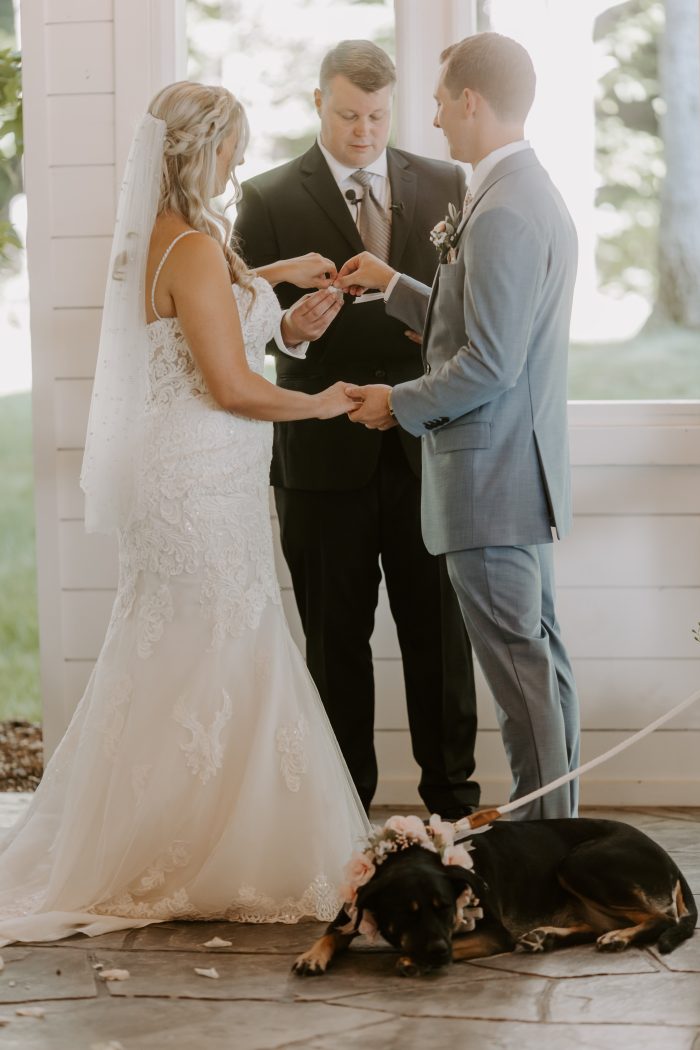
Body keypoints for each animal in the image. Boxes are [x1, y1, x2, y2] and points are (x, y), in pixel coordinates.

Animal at [291, 814, 696, 978]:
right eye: (407, 914)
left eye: (445, 909)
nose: (437, 953)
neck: (411, 851)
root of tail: (667, 857)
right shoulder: (354, 906)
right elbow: (330, 933)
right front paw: (311, 955)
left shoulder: (492, 933)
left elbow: (459, 943)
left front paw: (414, 960)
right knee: (592, 923)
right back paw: (546, 936)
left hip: (579, 863)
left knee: (662, 918)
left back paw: (618, 937)